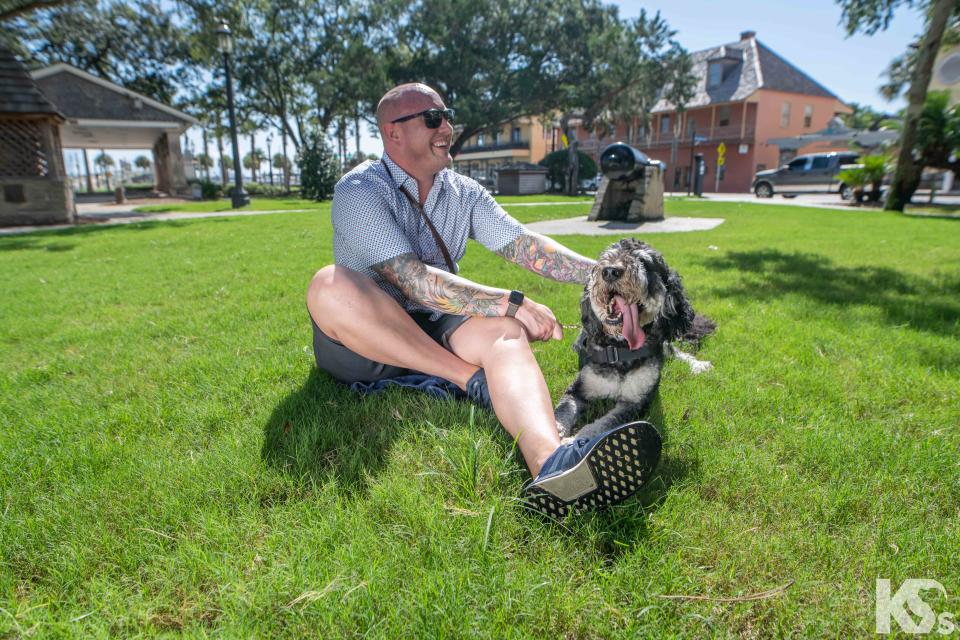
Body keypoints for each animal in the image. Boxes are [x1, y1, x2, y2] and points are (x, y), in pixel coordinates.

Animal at [556, 238, 712, 442]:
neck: (620, 349)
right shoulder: (577, 389)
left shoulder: (635, 402)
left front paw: (574, 441)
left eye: (644, 262)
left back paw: (698, 365)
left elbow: (602, 425)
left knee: (676, 351)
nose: (610, 271)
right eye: (604, 258)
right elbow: (562, 411)